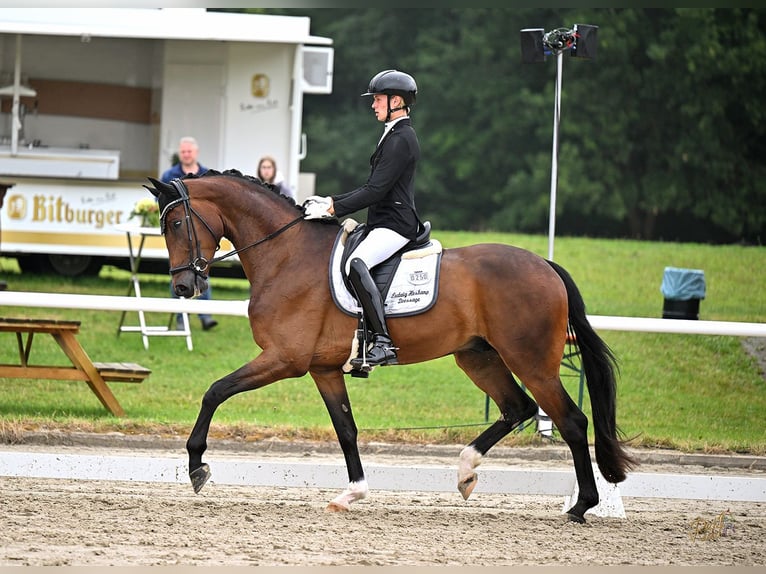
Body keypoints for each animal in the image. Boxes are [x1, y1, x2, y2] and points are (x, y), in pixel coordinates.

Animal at [145, 169, 636, 523]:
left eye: (176, 223)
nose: (183, 287)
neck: (285, 254)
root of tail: (547, 266)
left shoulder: (284, 359)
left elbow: (215, 391)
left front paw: (197, 467)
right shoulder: (323, 369)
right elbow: (346, 430)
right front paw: (352, 494)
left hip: (531, 360)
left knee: (570, 420)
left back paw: (580, 507)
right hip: (477, 356)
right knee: (517, 408)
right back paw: (466, 472)